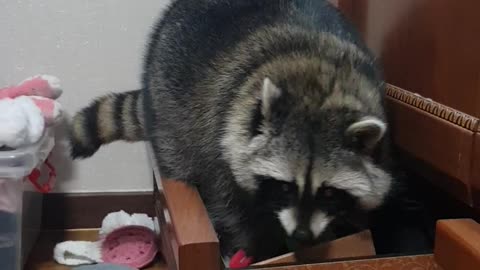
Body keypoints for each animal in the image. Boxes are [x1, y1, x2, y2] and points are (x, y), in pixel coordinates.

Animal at [69, 0, 396, 262]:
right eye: (285, 186)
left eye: (328, 191)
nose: (302, 235)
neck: (320, 86)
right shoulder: (220, 141)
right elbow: (230, 208)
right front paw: (254, 248)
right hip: (167, 98)